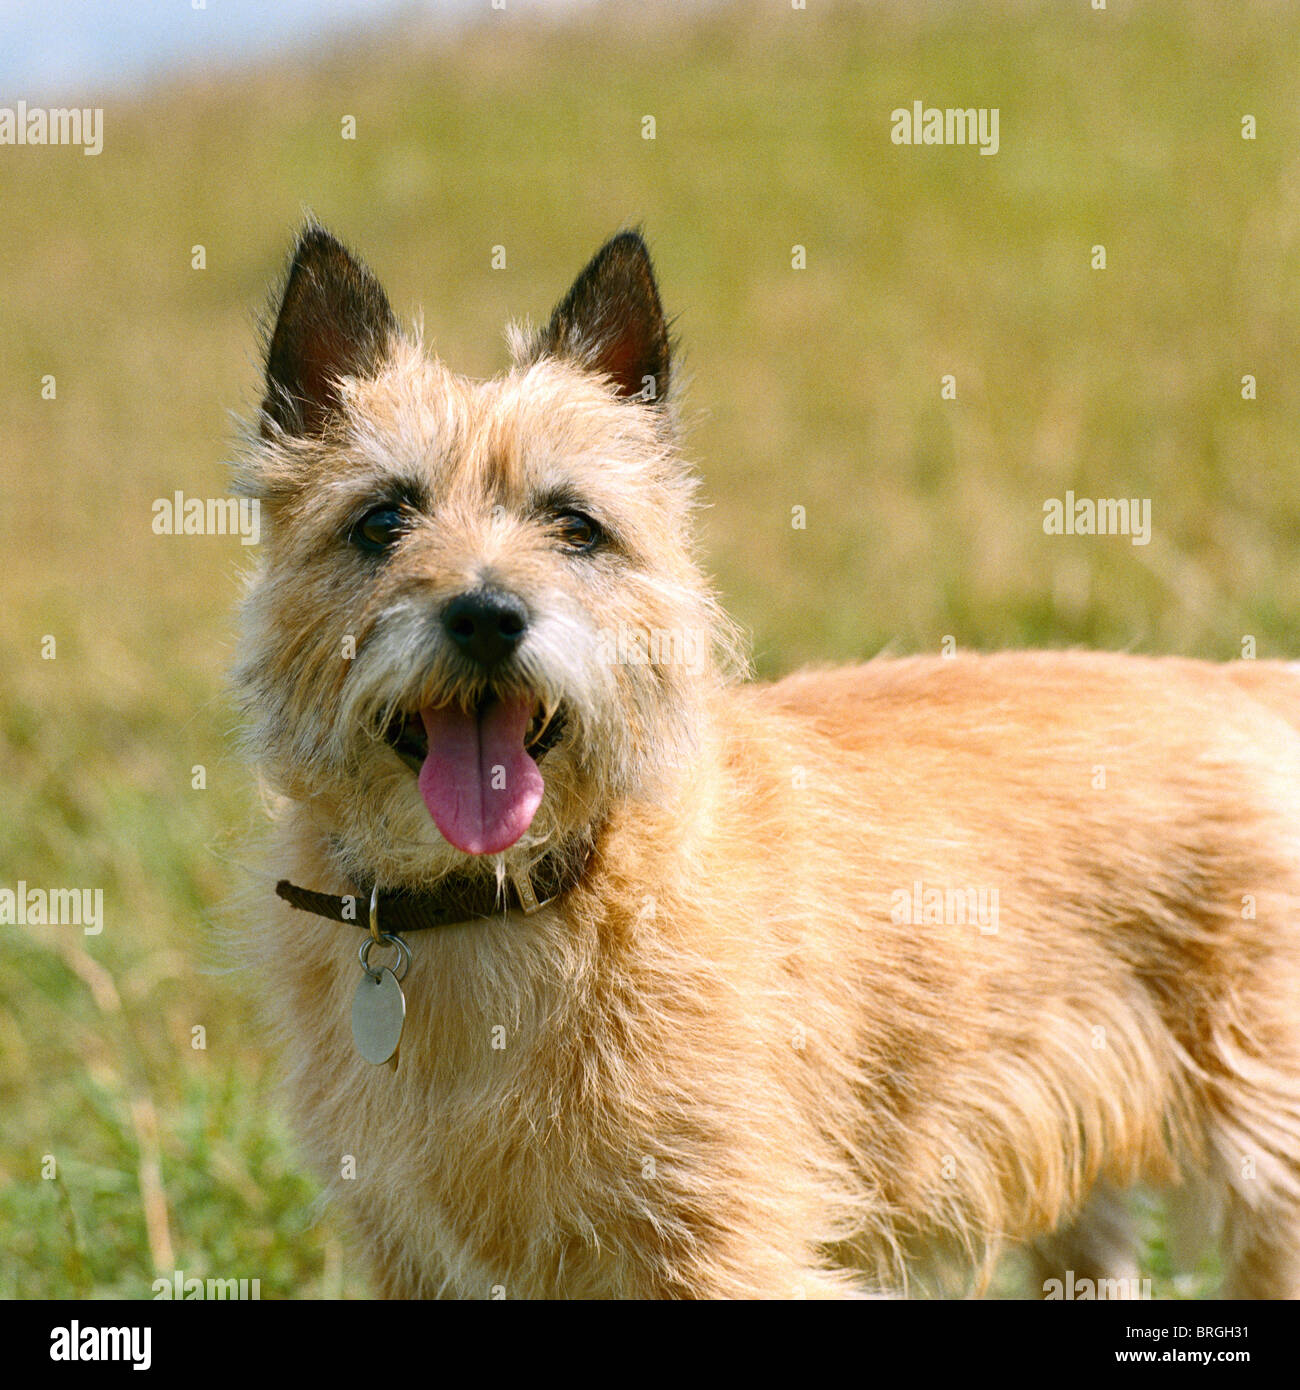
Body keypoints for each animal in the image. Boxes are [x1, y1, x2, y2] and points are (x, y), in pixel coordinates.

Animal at [233, 222, 1300, 1295]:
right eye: (381, 521)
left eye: (576, 525)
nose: (489, 616)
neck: (500, 898)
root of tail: (1257, 686)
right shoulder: (411, 1250)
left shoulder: (723, 1241)